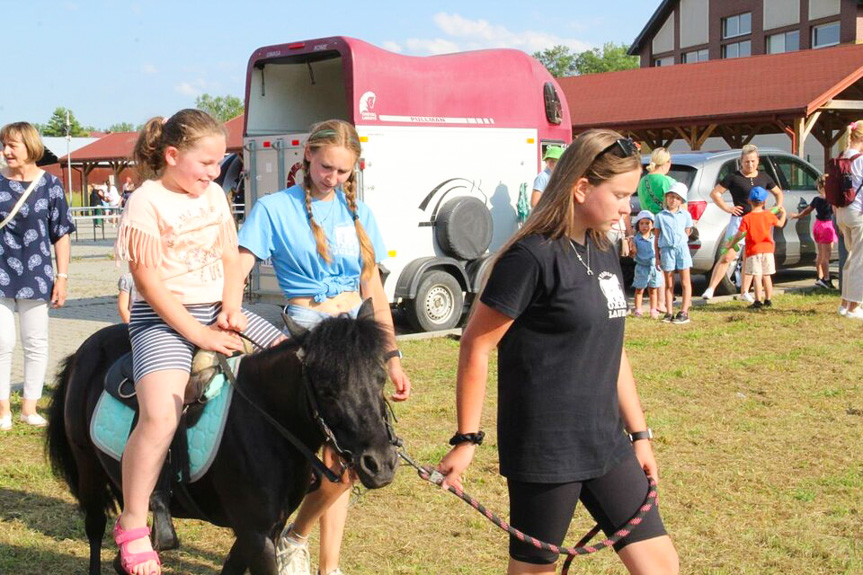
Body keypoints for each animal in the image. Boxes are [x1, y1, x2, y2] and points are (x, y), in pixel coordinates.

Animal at [45, 304, 400, 572]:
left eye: (380, 378)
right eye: (326, 389)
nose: (379, 464)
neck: (265, 419)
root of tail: (83, 352)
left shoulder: (260, 531)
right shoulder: (256, 533)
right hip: (88, 468)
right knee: (95, 527)